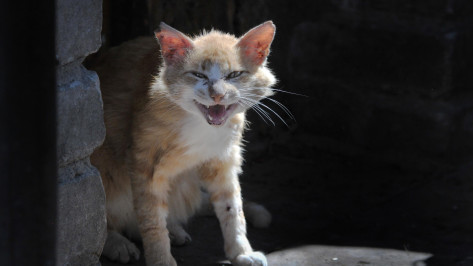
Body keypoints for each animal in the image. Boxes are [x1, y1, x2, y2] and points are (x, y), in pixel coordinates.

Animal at [90, 21, 276, 266]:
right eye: (198, 75)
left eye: (234, 75)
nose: (217, 96)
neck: (201, 125)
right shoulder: (144, 166)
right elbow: (151, 218)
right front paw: (161, 259)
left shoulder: (222, 160)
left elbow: (233, 208)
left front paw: (241, 251)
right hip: (106, 168)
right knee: (105, 220)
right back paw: (118, 244)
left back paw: (173, 231)